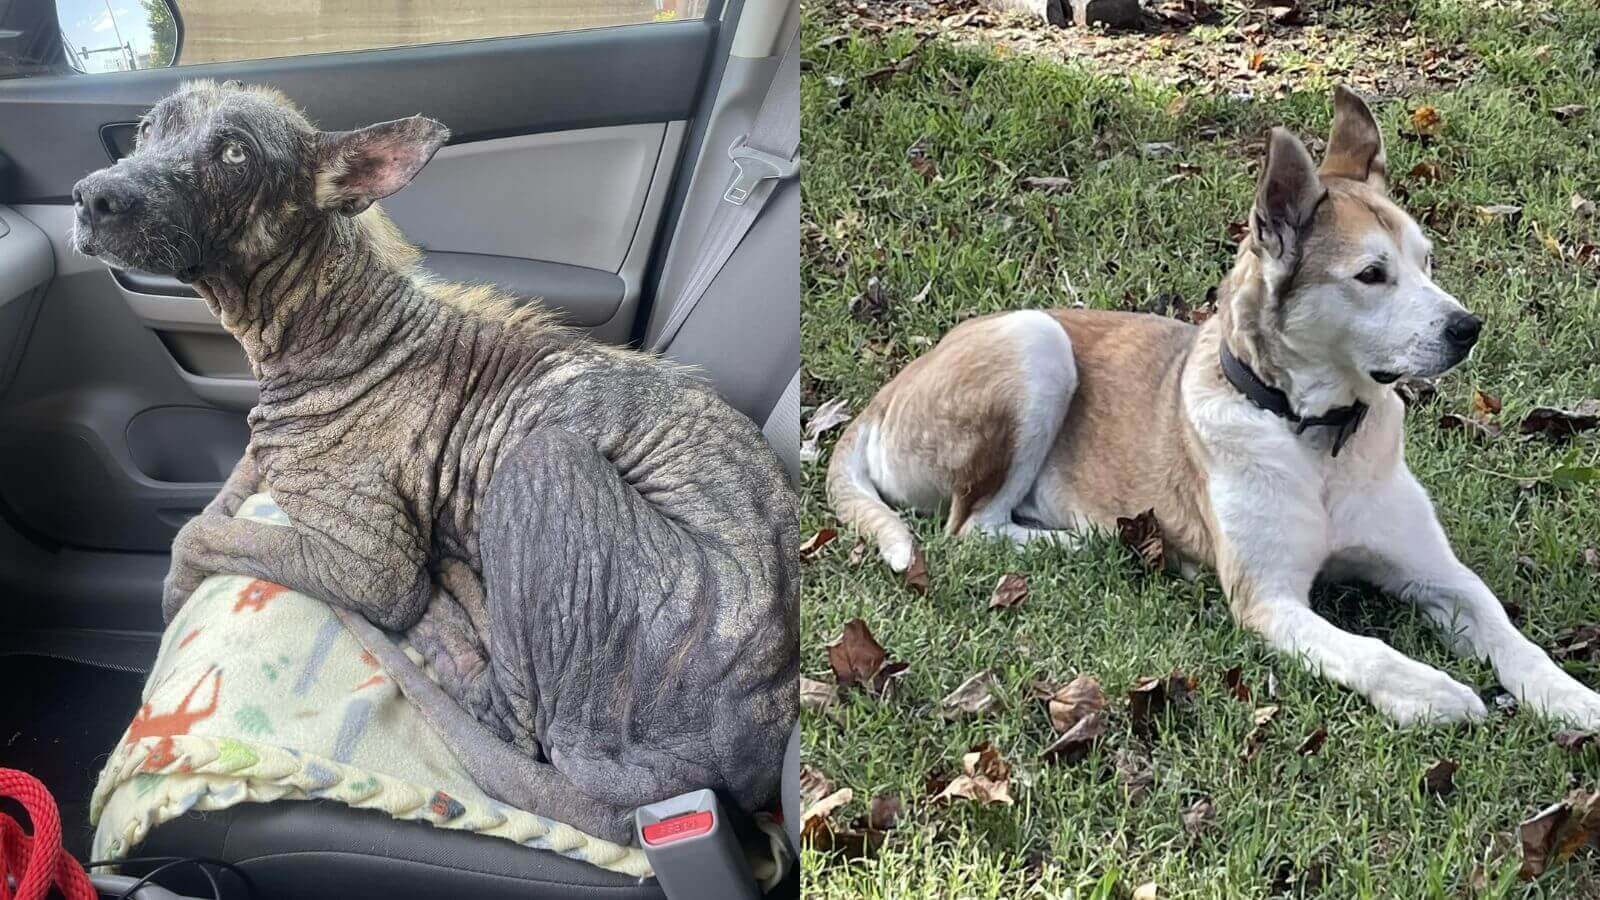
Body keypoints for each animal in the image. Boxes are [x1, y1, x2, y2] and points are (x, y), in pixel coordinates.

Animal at [72, 78, 796, 839]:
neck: (322, 327)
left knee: (514, 718)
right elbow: (217, 501)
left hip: (540, 462)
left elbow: (201, 534)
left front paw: (173, 596)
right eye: (148, 131)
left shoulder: (369, 565)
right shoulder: (259, 457)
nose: (92, 196)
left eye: (235, 153)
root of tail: (735, 765)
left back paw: (447, 603)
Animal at [832, 85, 1600, 730]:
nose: (1468, 328)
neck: (1315, 435)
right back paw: (1088, 540)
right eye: (1371, 275)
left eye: (1427, 260)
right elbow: (1369, 648)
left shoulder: (1438, 573)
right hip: (1034, 339)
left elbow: (1509, 633)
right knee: (972, 527)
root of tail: (883, 396)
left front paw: (1568, 695)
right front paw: (1429, 691)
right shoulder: (1271, 600)